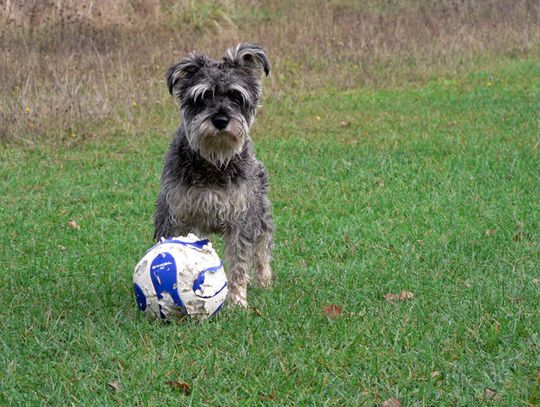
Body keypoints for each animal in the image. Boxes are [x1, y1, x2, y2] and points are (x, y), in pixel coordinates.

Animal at [154, 43, 274, 308]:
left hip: (260, 215)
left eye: (236, 96)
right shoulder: (175, 215)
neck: (214, 161)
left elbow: (239, 261)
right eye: (202, 96)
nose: (220, 120)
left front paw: (237, 300)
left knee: (262, 249)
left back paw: (264, 281)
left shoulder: (241, 219)